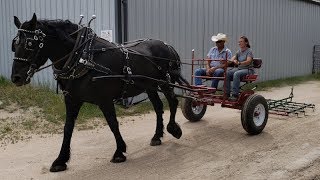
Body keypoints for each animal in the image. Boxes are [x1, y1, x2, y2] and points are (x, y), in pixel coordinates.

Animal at [11, 13, 189, 172]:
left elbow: (113, 124)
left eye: (30, 43)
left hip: (164, 83)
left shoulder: (105, 100)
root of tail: (167, 46)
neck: (82, 57)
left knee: (173, 102)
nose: (16, 78)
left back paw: (173, 129)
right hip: (150, 86)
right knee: (158, 107)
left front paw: (119, 152)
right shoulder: (72, 100)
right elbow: (67, 128)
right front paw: (60, 160)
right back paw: (157, 136)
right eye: (14, 44)